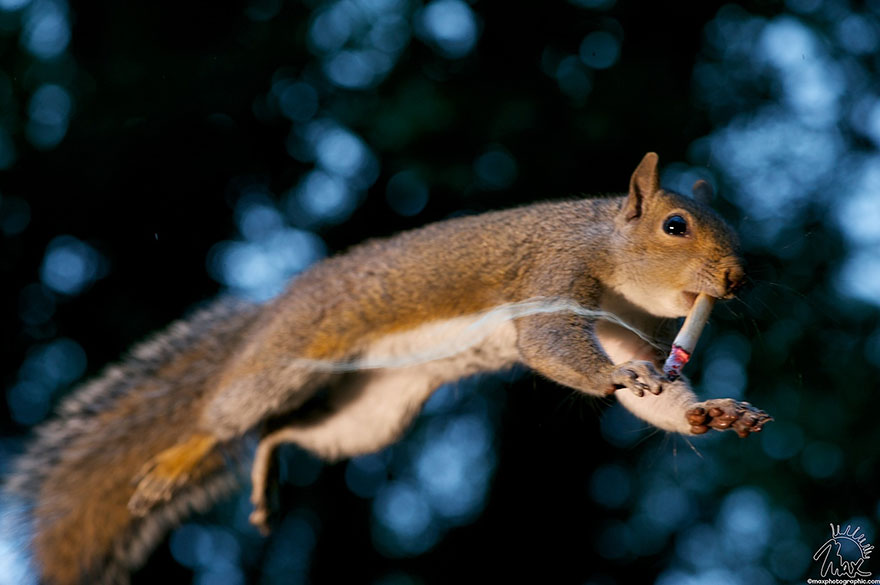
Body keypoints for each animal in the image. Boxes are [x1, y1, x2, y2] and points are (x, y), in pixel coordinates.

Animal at [5, 152, 771, 585]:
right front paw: (617, 382)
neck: (609, 253)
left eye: (733, 223)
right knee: (226, 415)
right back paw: (177, 458)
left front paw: (709, 410)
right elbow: (549, 344)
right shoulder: (553, 276)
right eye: (674, 226)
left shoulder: (632, 331)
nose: (736, 278)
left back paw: (263, 474)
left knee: (283, 432)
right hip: (280, 363)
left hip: (367, 413)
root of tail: (265, 316)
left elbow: (655, 389)